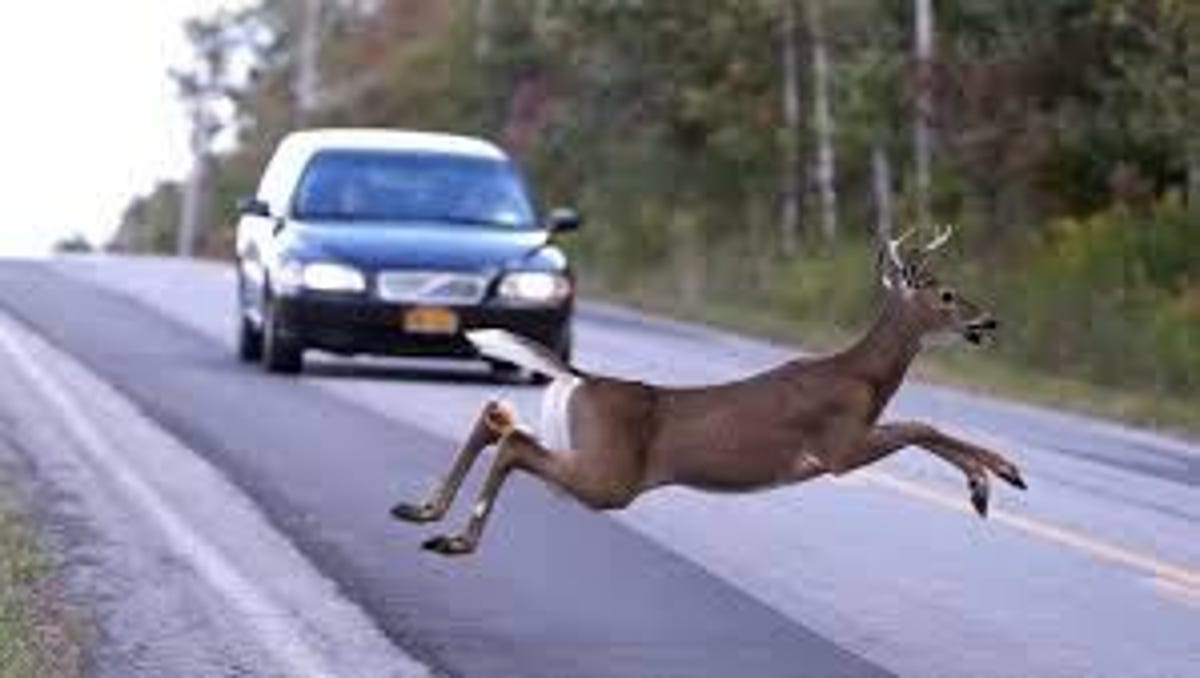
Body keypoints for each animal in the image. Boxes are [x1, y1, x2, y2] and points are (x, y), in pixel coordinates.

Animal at [390, 226, 1026, 556]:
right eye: (946, 295)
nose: (990, 321)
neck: (864, 377)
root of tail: (583, 379)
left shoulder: (847, 443)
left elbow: (924, 427)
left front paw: (991, 480)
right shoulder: (838, 446)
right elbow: (922, 425)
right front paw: (994, 478)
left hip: (592, 456)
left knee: (498, 416)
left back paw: (424, 512)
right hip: (611, 477)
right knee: (516, 443)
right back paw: (456, 538)